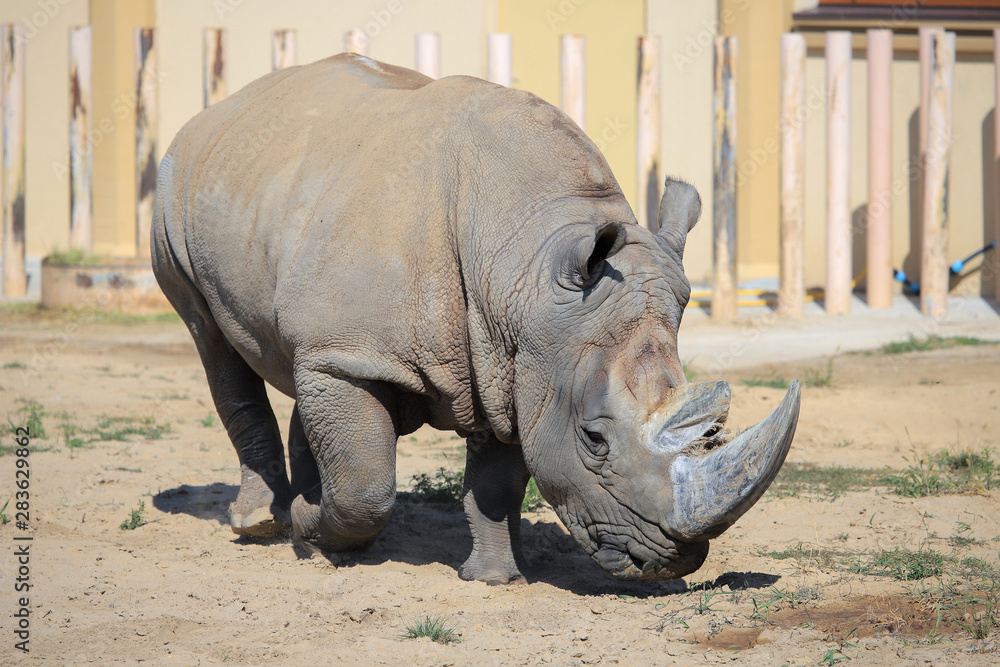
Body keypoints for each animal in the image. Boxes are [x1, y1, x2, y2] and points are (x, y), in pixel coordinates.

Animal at [152, 54, 799, 584]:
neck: (529, 257)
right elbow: (365, 485)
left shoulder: (518, 356)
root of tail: (222, 109)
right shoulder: (414, 346)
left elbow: (500, 480)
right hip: (173, 190)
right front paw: (313, 534)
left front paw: (492, 580)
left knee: (303, 370)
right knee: (214, 343)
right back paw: (260, 526)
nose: (671, 561)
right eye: (594, 440)